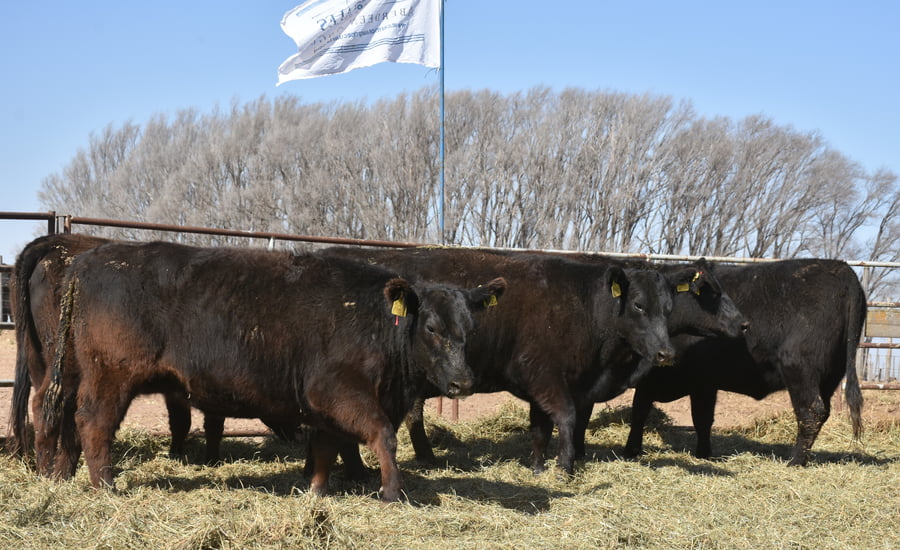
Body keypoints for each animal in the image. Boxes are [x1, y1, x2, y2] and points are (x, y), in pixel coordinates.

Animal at [41, 241, 506, 501]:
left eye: (470, 328)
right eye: (431, 328)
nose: (463, 382)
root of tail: (88, 260)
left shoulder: (324, 406)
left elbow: (326, 447)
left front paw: (316, 491)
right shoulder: (339, 392)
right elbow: (382, 436)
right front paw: (393, 491)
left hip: (82, 374)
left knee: (69, 420)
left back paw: (66, 476)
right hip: (112, 377)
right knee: (94, 423)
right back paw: (105, 485)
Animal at [320, 246, 693, 475]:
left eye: (669, 307)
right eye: (639, 305)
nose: (667, 353)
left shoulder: (548, 385)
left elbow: (541, 428)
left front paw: (539, 466)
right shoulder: (545, 375)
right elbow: (567, 418)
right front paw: (565, 467)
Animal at [623, 259, 866, 466]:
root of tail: (842, 268)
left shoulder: (657, 378)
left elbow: (640, 411)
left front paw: (631, 450)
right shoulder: (703, 383)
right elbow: (702, 418)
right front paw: (703, 454)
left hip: (799, 368)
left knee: (811, 411)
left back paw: (795, 461)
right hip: (830, 376)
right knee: (822, 412)